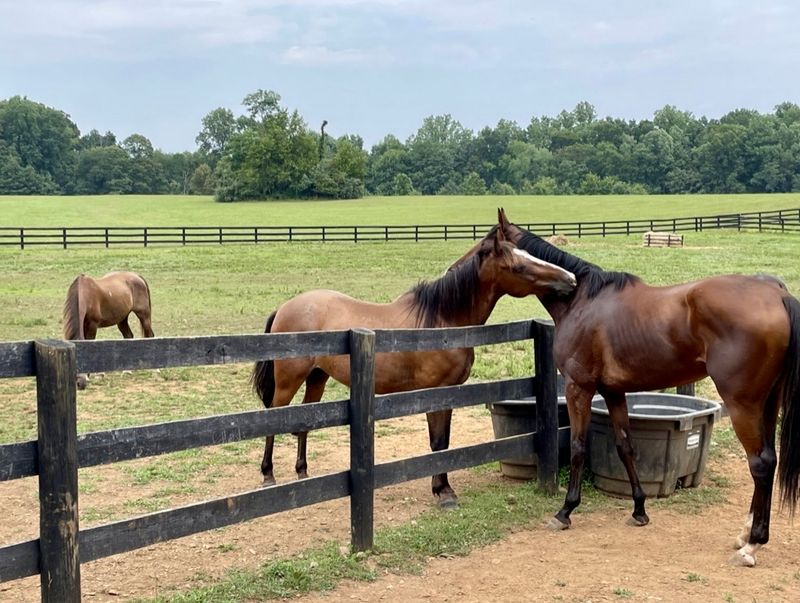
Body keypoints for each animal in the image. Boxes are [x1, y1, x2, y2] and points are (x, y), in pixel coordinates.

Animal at [250, 231, 577, 508]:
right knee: (273, 418)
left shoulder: (450, 393)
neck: (442, 321)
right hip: (288, 381)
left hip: (317, 377)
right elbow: (438, 442)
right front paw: (444, 492)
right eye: (518, 266)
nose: (570, 279)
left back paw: (302, 472)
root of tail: (285, 307)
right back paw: (268, 475)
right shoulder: (435, 392)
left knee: (304, 420)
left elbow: (444, 442)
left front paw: (442, 487)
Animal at [450, 208, 800, 566]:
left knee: (760, 463)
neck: (582, 300)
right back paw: (745, 534)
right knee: (769, 459)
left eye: (485, 248)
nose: (454, 270)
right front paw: (639, 509)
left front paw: (565, 511)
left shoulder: (579, 388)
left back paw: (752, 544)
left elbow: (578, 447)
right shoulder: (613, 392)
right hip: (767, 403)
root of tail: (776, 293)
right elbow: (626, 446)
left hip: (742, 404)